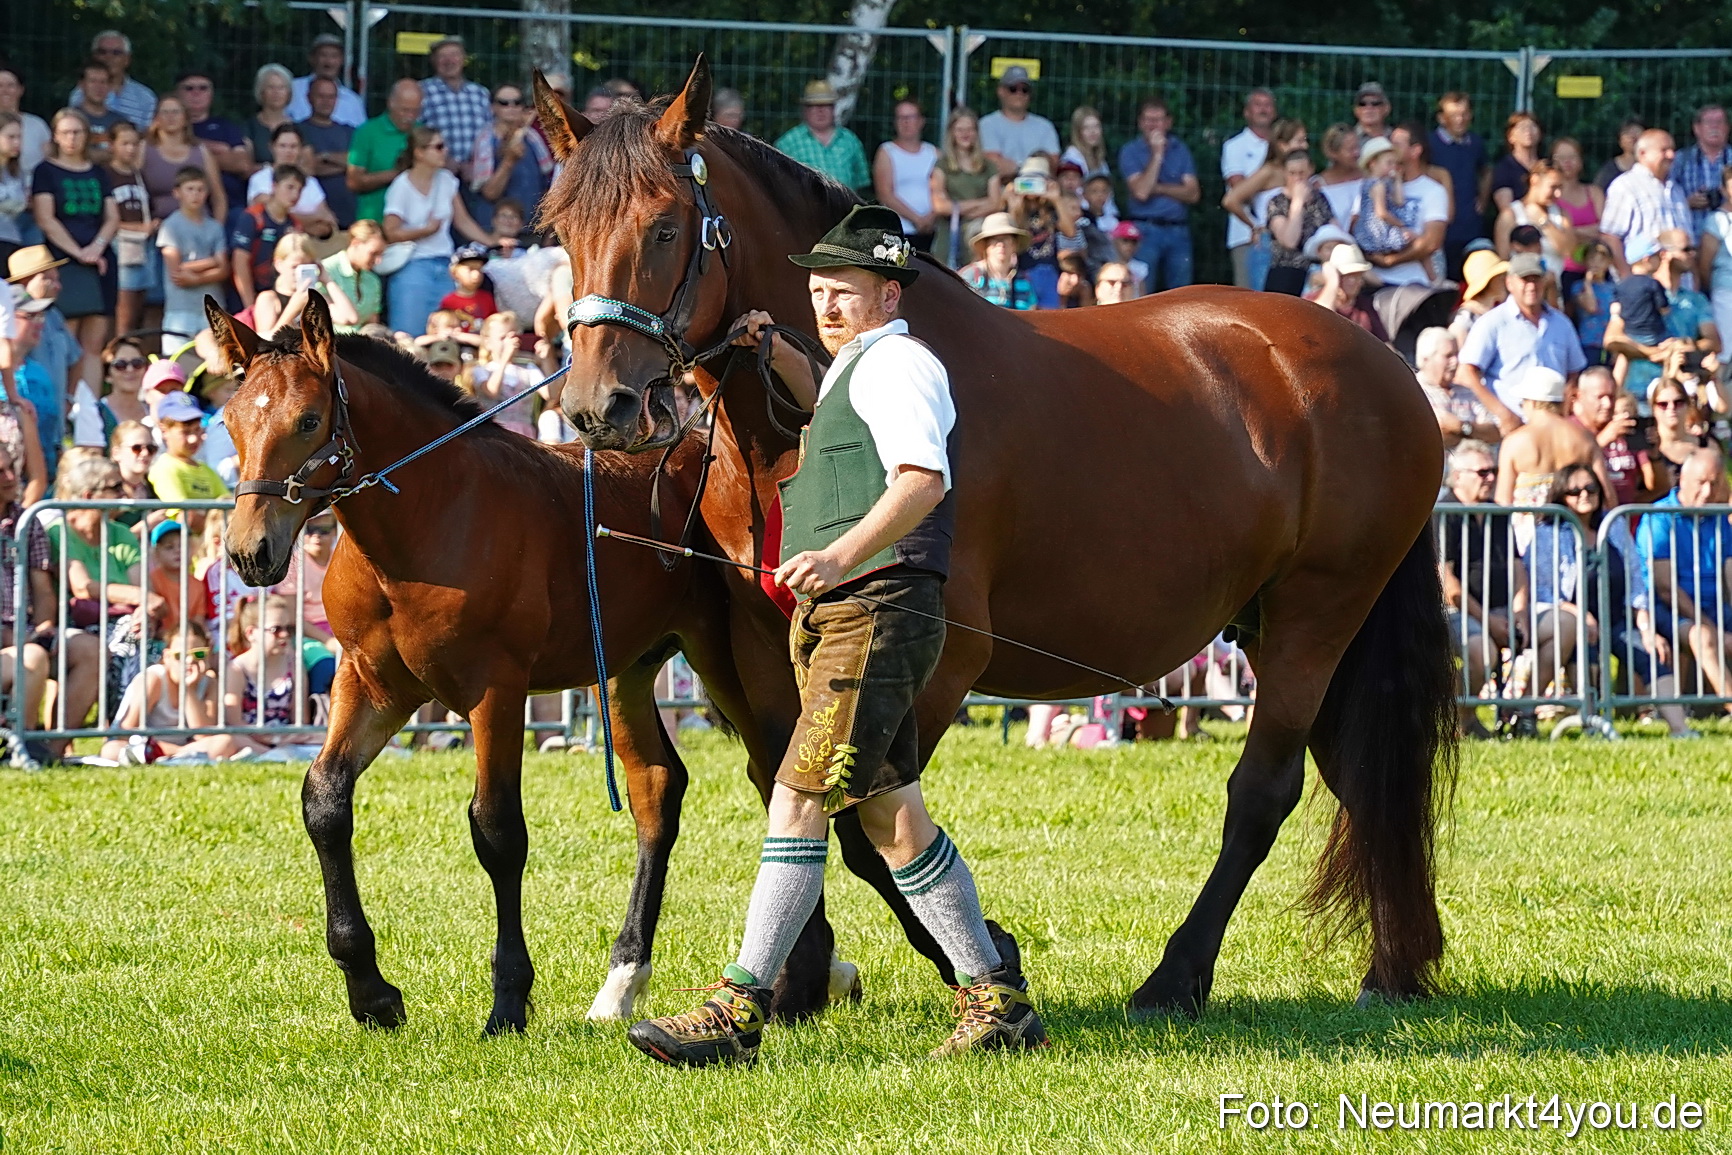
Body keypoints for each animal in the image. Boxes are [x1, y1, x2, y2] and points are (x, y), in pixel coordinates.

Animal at [205, 292, 874, 1032]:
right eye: (231, 420)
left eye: (308, 419)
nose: (250, 552)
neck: (432, 518)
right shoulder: (373, 684)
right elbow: (325, 800)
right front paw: (370, 990)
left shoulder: (495, 689)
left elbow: (497, 829)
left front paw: (507, 998)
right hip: (628, 669)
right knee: (659, 787)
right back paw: (630, 979)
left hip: (729, 659)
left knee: (776, 771)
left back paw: (809, 971)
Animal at [533, 59, 1460, 1015]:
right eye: (560, 231)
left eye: (665, 225)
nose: (599, 405)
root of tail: (1384, 363)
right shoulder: (762, 641)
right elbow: (787, 788)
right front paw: (801, 976)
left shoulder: (940, 655)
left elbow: (864, 822)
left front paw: (981, 957)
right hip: (1275, 624)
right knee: (1363, 779)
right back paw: (1395, 966)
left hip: (1319, 615)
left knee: (1265, 791)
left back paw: (1179, 974)